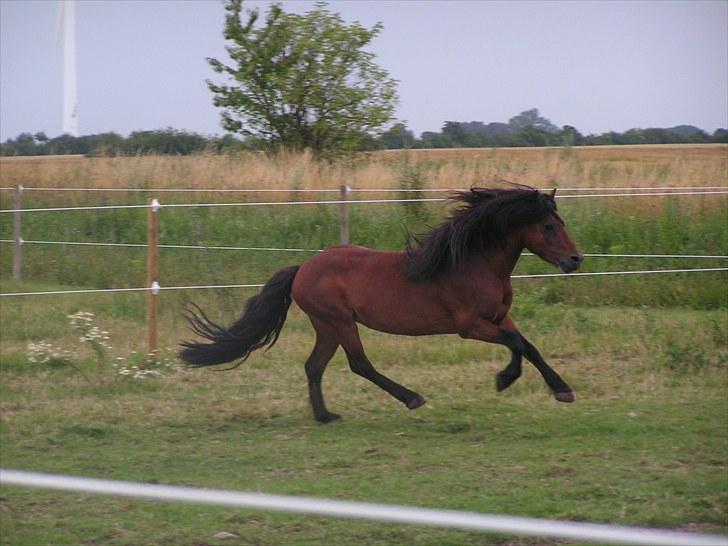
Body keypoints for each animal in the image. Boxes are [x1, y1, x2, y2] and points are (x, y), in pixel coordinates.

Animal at [179, 186, 584, 420]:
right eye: (549, 226)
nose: (575, 260)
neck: (473, 263)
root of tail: (302, 269)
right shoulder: (471, 327)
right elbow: (516, 344)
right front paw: (506, 379)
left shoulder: (500, 318)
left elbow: (527, 345)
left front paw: (559, 388)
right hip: (339, 322)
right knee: (359, 364)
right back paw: (411, 398)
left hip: (327, 327)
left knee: (314, 366)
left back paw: (326, 416)